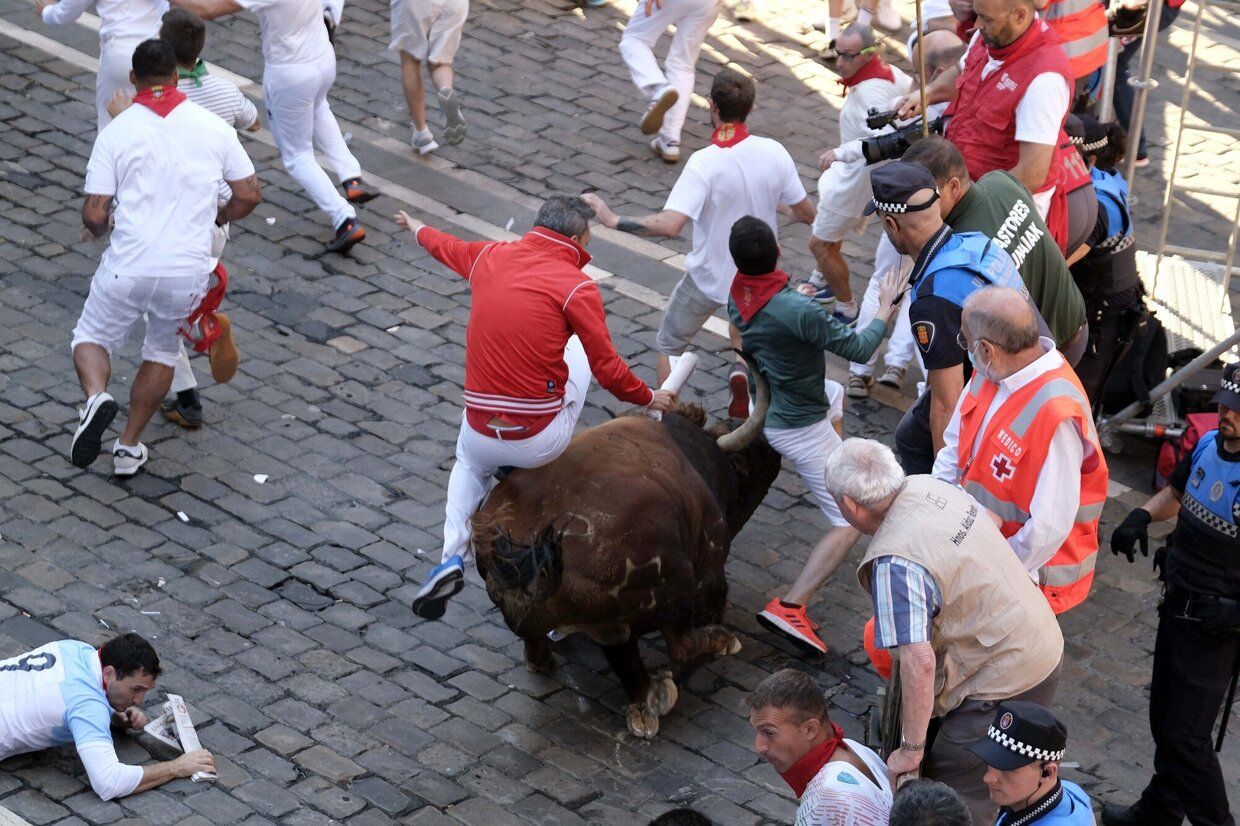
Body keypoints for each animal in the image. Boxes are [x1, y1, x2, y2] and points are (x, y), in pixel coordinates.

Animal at [468, 367, 778, 734]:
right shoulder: (711, 575)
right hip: (674, 590)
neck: (692, 450)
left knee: (551, 652)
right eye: (750, 462)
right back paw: (697, 660)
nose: (773, 449)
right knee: (677, 646)